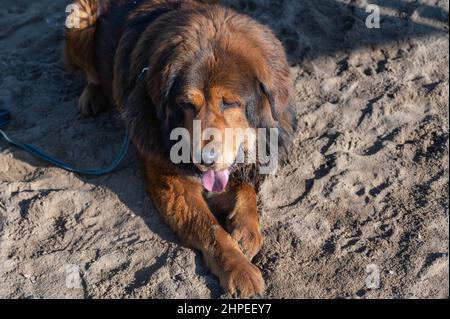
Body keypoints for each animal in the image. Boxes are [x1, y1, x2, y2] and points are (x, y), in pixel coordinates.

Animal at [64, 0, 296, 300]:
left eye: (229, 103)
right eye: (187, 104)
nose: (204, 159)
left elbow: (246, 190)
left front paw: (246, 230)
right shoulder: (172, 184)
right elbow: (211, 230)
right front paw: (239, 269)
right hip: (78, 19)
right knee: (90, 74)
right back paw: (92, 97)